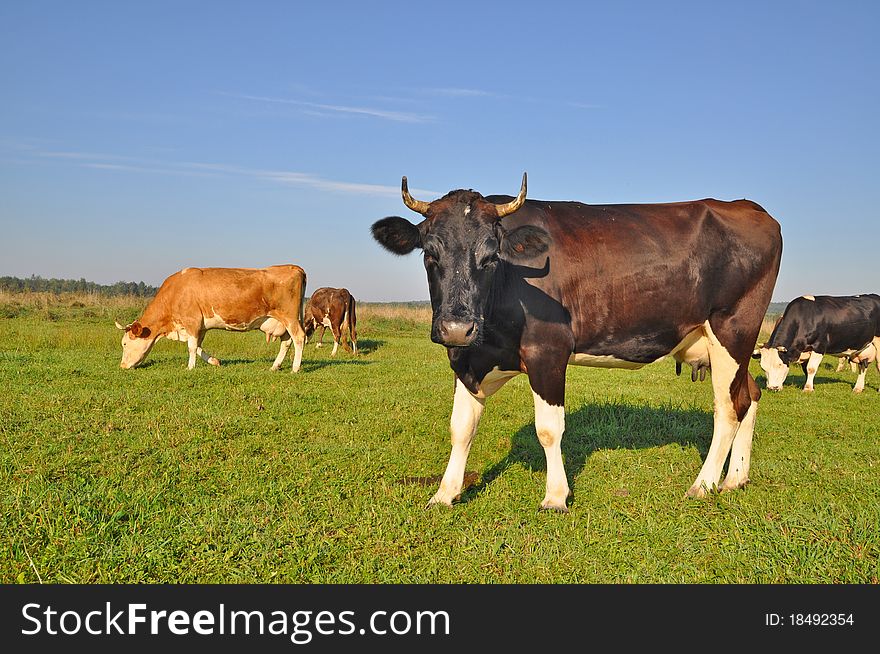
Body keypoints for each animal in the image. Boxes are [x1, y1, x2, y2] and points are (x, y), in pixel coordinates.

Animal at [116, 264, 310, 372]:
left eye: (124, 343)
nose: (122, 366)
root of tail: (293, 267)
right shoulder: (200, 327)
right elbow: (198, 346)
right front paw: (215, 361)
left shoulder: (192, 322)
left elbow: (191, 347)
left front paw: (190, 367)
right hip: (284, 321)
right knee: (287, 342)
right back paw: (275, 366)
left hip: (289, 317)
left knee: (299, 338)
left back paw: (295, 368)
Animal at [372, 172, 784, 510]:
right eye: (429, 253)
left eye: (490, 256)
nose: (457, 327)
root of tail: (747, 206)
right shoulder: (469, 358)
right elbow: (461, 427)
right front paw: (445, 493)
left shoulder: (548, 351)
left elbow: (548, 428)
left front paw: (555, 496)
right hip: (729, 344)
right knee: (749, 396)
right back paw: (734, 479)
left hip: (732, 328)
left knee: (728, 408)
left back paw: (704, 484)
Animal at [748, 294, 880, 392]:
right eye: (763, 367)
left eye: (779, 364)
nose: (772, 388)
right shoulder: (805, 351)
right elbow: (806, 369)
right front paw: (811, 385)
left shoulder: (819, 346)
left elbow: (811, 368)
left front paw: (807, 389)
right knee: (863, 366)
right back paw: (858, 388)